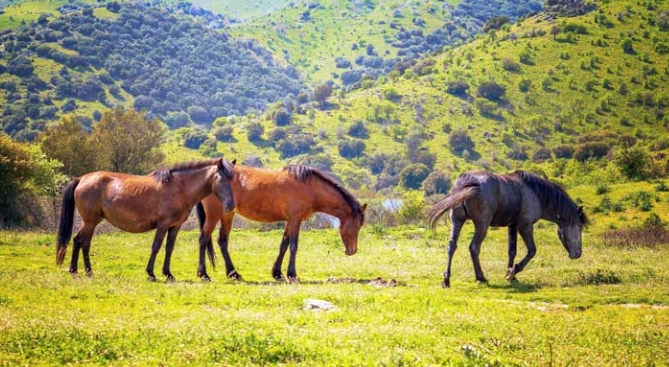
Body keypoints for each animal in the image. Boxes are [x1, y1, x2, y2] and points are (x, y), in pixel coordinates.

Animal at [56, 158, 236, 282]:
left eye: (233, 180)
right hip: (90, 222)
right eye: (221, 179)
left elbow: (169, 248)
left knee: (77, 240)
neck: (180, 188)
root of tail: (81, 179)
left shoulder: (175, 226)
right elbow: (156, 247)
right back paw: (88, 271)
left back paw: (73, 270)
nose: (231, 205)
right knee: (85, 243)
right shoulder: (162, 225)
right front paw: (151, 273)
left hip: (90, 221)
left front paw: (168, 274)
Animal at [196, 165, 368, 284]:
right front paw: (292, 274)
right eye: (357, 226)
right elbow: (293, 246)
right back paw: (204, 274)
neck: (309, 188)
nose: (352, 251)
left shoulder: (290, 221)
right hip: (214, 214)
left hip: (227, 214)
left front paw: (277, 273)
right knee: (203, 239)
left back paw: (233, 274)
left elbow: (283, 245)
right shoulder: (295, 220)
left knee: (222, 241)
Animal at [426, 171, 588, 288]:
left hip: (457, 221)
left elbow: (512, 251)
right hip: (482, 225)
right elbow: (532, 250)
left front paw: (511, 275)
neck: (535, 193)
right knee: (474, 247)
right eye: (580, 227)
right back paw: (481, 277)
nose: (578, 254)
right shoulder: (525, 225)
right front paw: (512, 272)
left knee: (452, 246)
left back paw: (446, 279)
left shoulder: (512, 225)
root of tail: (467, 181)